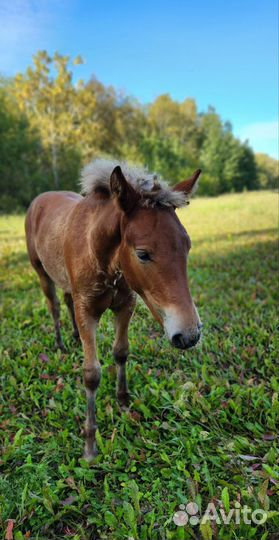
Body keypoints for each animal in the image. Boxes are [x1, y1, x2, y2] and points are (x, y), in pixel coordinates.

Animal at [25, 158, 202, 458]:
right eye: (142, 253)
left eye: (187, 246)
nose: (189, 335)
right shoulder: (88, 312)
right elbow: (91, 374)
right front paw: (90, 443)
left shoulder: (126, 305)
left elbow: (121, 352)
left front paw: (124, 403)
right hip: (41, 273)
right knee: (55, 306)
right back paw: (60, 343)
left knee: (67, 300)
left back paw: (74, 338)